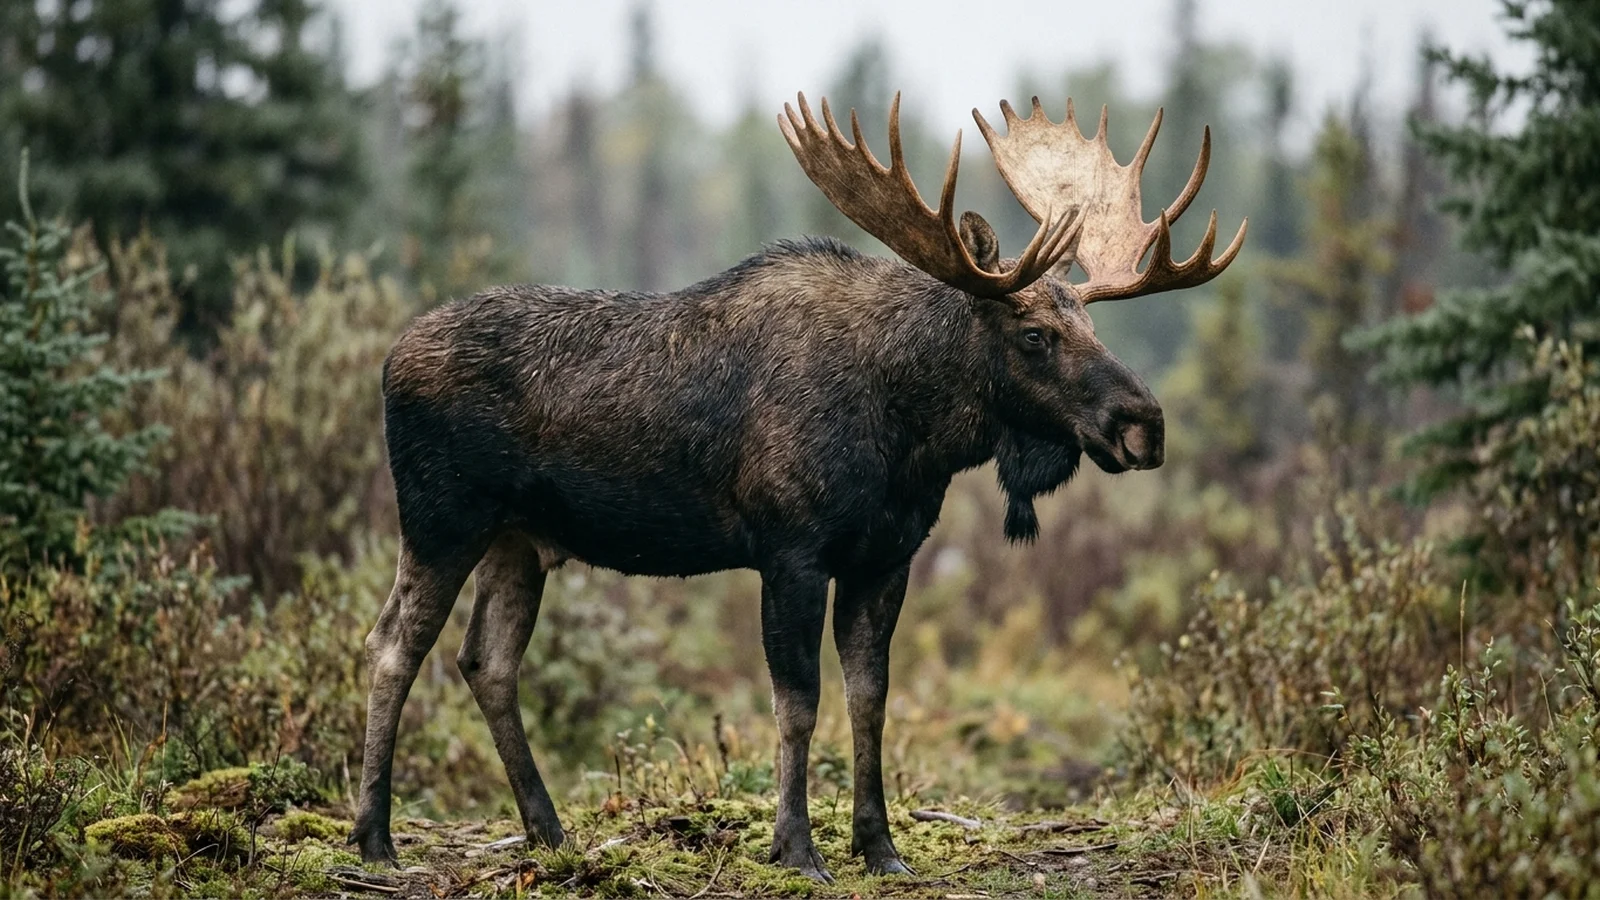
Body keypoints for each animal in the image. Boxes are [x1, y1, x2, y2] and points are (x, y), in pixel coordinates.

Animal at [350, 92, 1246, 880]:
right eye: (1033, 333)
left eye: (1092, 322)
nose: (1143, 423)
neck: (912, 436)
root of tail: (388, 360)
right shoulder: (790, 550)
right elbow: (797, 701)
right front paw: (797, 847)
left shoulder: (886, 557)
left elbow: (870, 695)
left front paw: (879, 846)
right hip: (440, 518)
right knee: (393, 644)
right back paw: (375, 838)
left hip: (519, 540)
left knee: (486, 660)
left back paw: (548, 831)